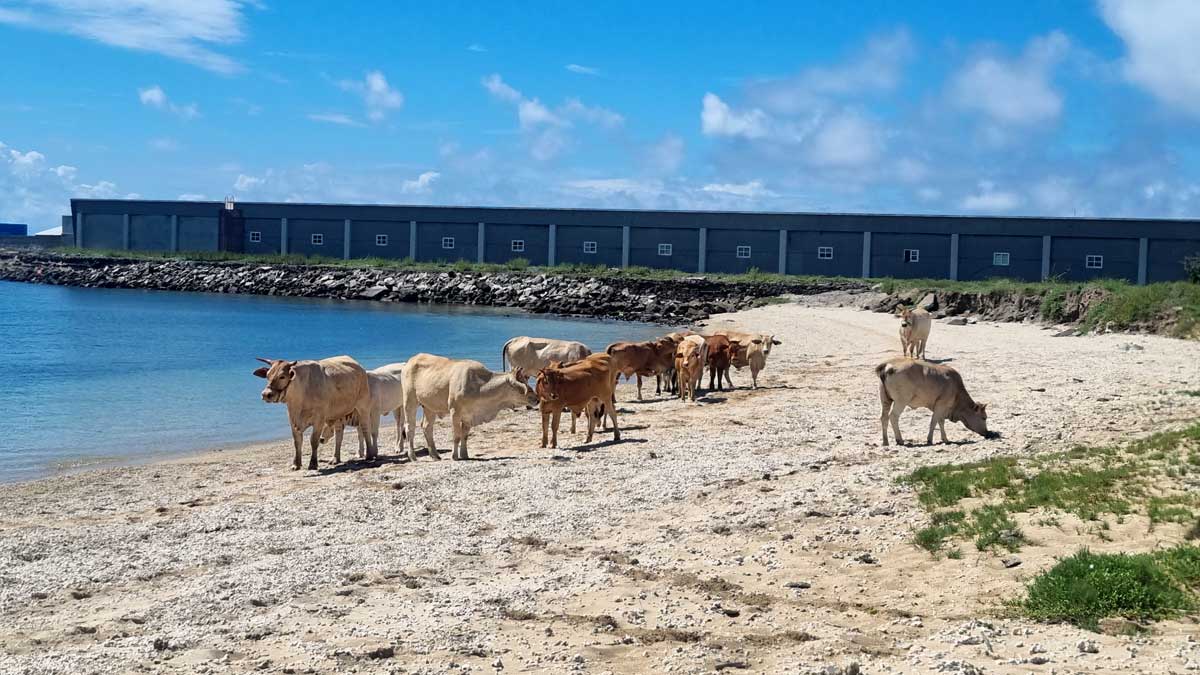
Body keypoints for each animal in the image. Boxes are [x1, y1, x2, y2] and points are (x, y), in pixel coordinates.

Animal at [401, 354, 539, 461]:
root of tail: (410, 361)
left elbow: (465, 435)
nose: (536, 398)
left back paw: (435, 455)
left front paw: (465, 455)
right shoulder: (455, 411)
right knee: (409, 428)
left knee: (427, 427)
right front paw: (455, 456)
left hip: (429, 406)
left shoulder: (469, 415)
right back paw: (413, 456)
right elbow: (456, 435)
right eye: (521, 388)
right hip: (410, 401)